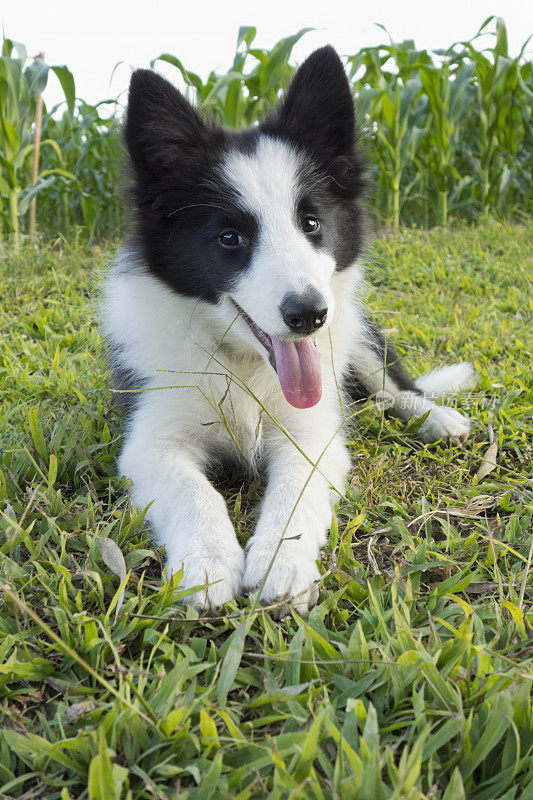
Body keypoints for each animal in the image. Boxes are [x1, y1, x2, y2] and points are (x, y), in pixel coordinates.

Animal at [101, 47, 474, 612]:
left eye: (312, 224)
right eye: (229, 238)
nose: (308, 315)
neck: (242, 364)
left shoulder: (312, 432)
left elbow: (296, 490)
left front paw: (282, 561)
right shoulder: (152, 438)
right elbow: (193, 490)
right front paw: (208, 563)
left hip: (356, 333)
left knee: (391, 386)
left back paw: (435, 416)